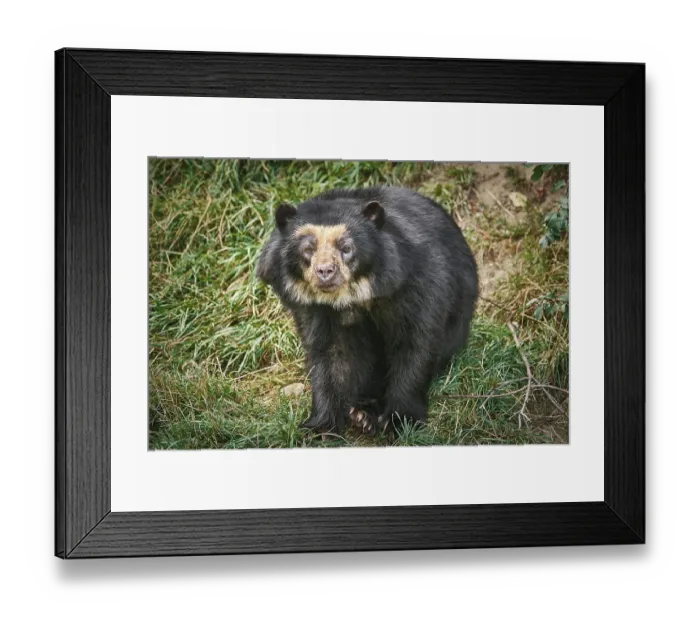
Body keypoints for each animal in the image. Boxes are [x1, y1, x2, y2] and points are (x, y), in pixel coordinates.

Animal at [256, 186, 479, 437]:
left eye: (346, 248)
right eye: (308, 249)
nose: (325, 271)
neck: (352, 297)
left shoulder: (417, 283)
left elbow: (415, 343)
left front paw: (399, 421)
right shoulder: (317, 309)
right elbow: (331, 355)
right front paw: (320, 427)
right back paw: (362, 415)